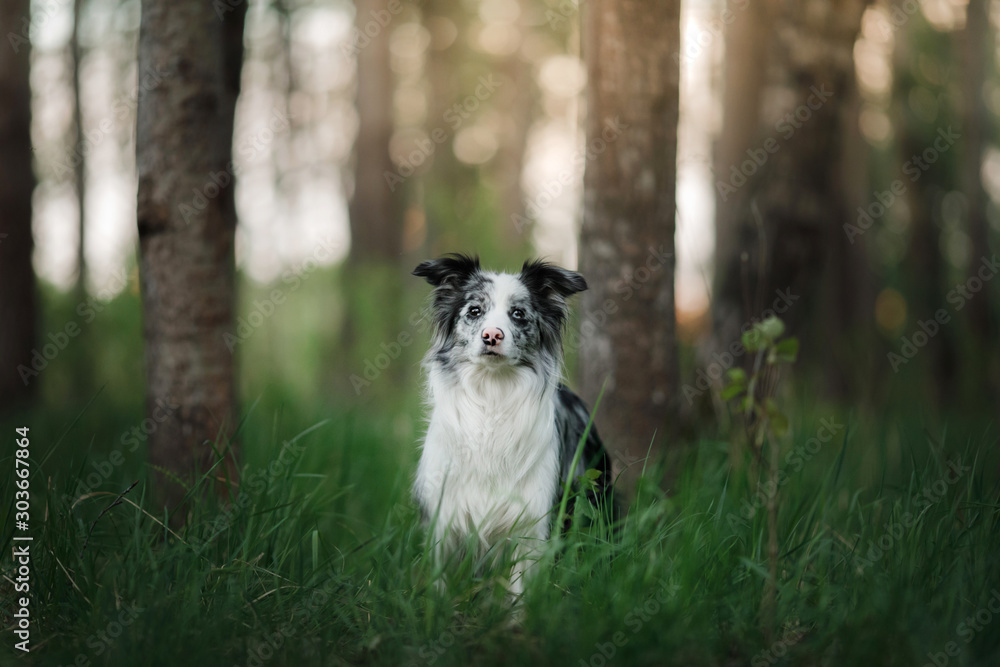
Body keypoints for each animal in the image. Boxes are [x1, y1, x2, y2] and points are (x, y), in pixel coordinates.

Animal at [410, 256, 612, 600]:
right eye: (474, 310)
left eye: (518, 314)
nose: (491, 335)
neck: (492, 395)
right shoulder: (445, 514)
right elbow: (440, 581)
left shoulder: (530, 521)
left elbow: (520, 586)